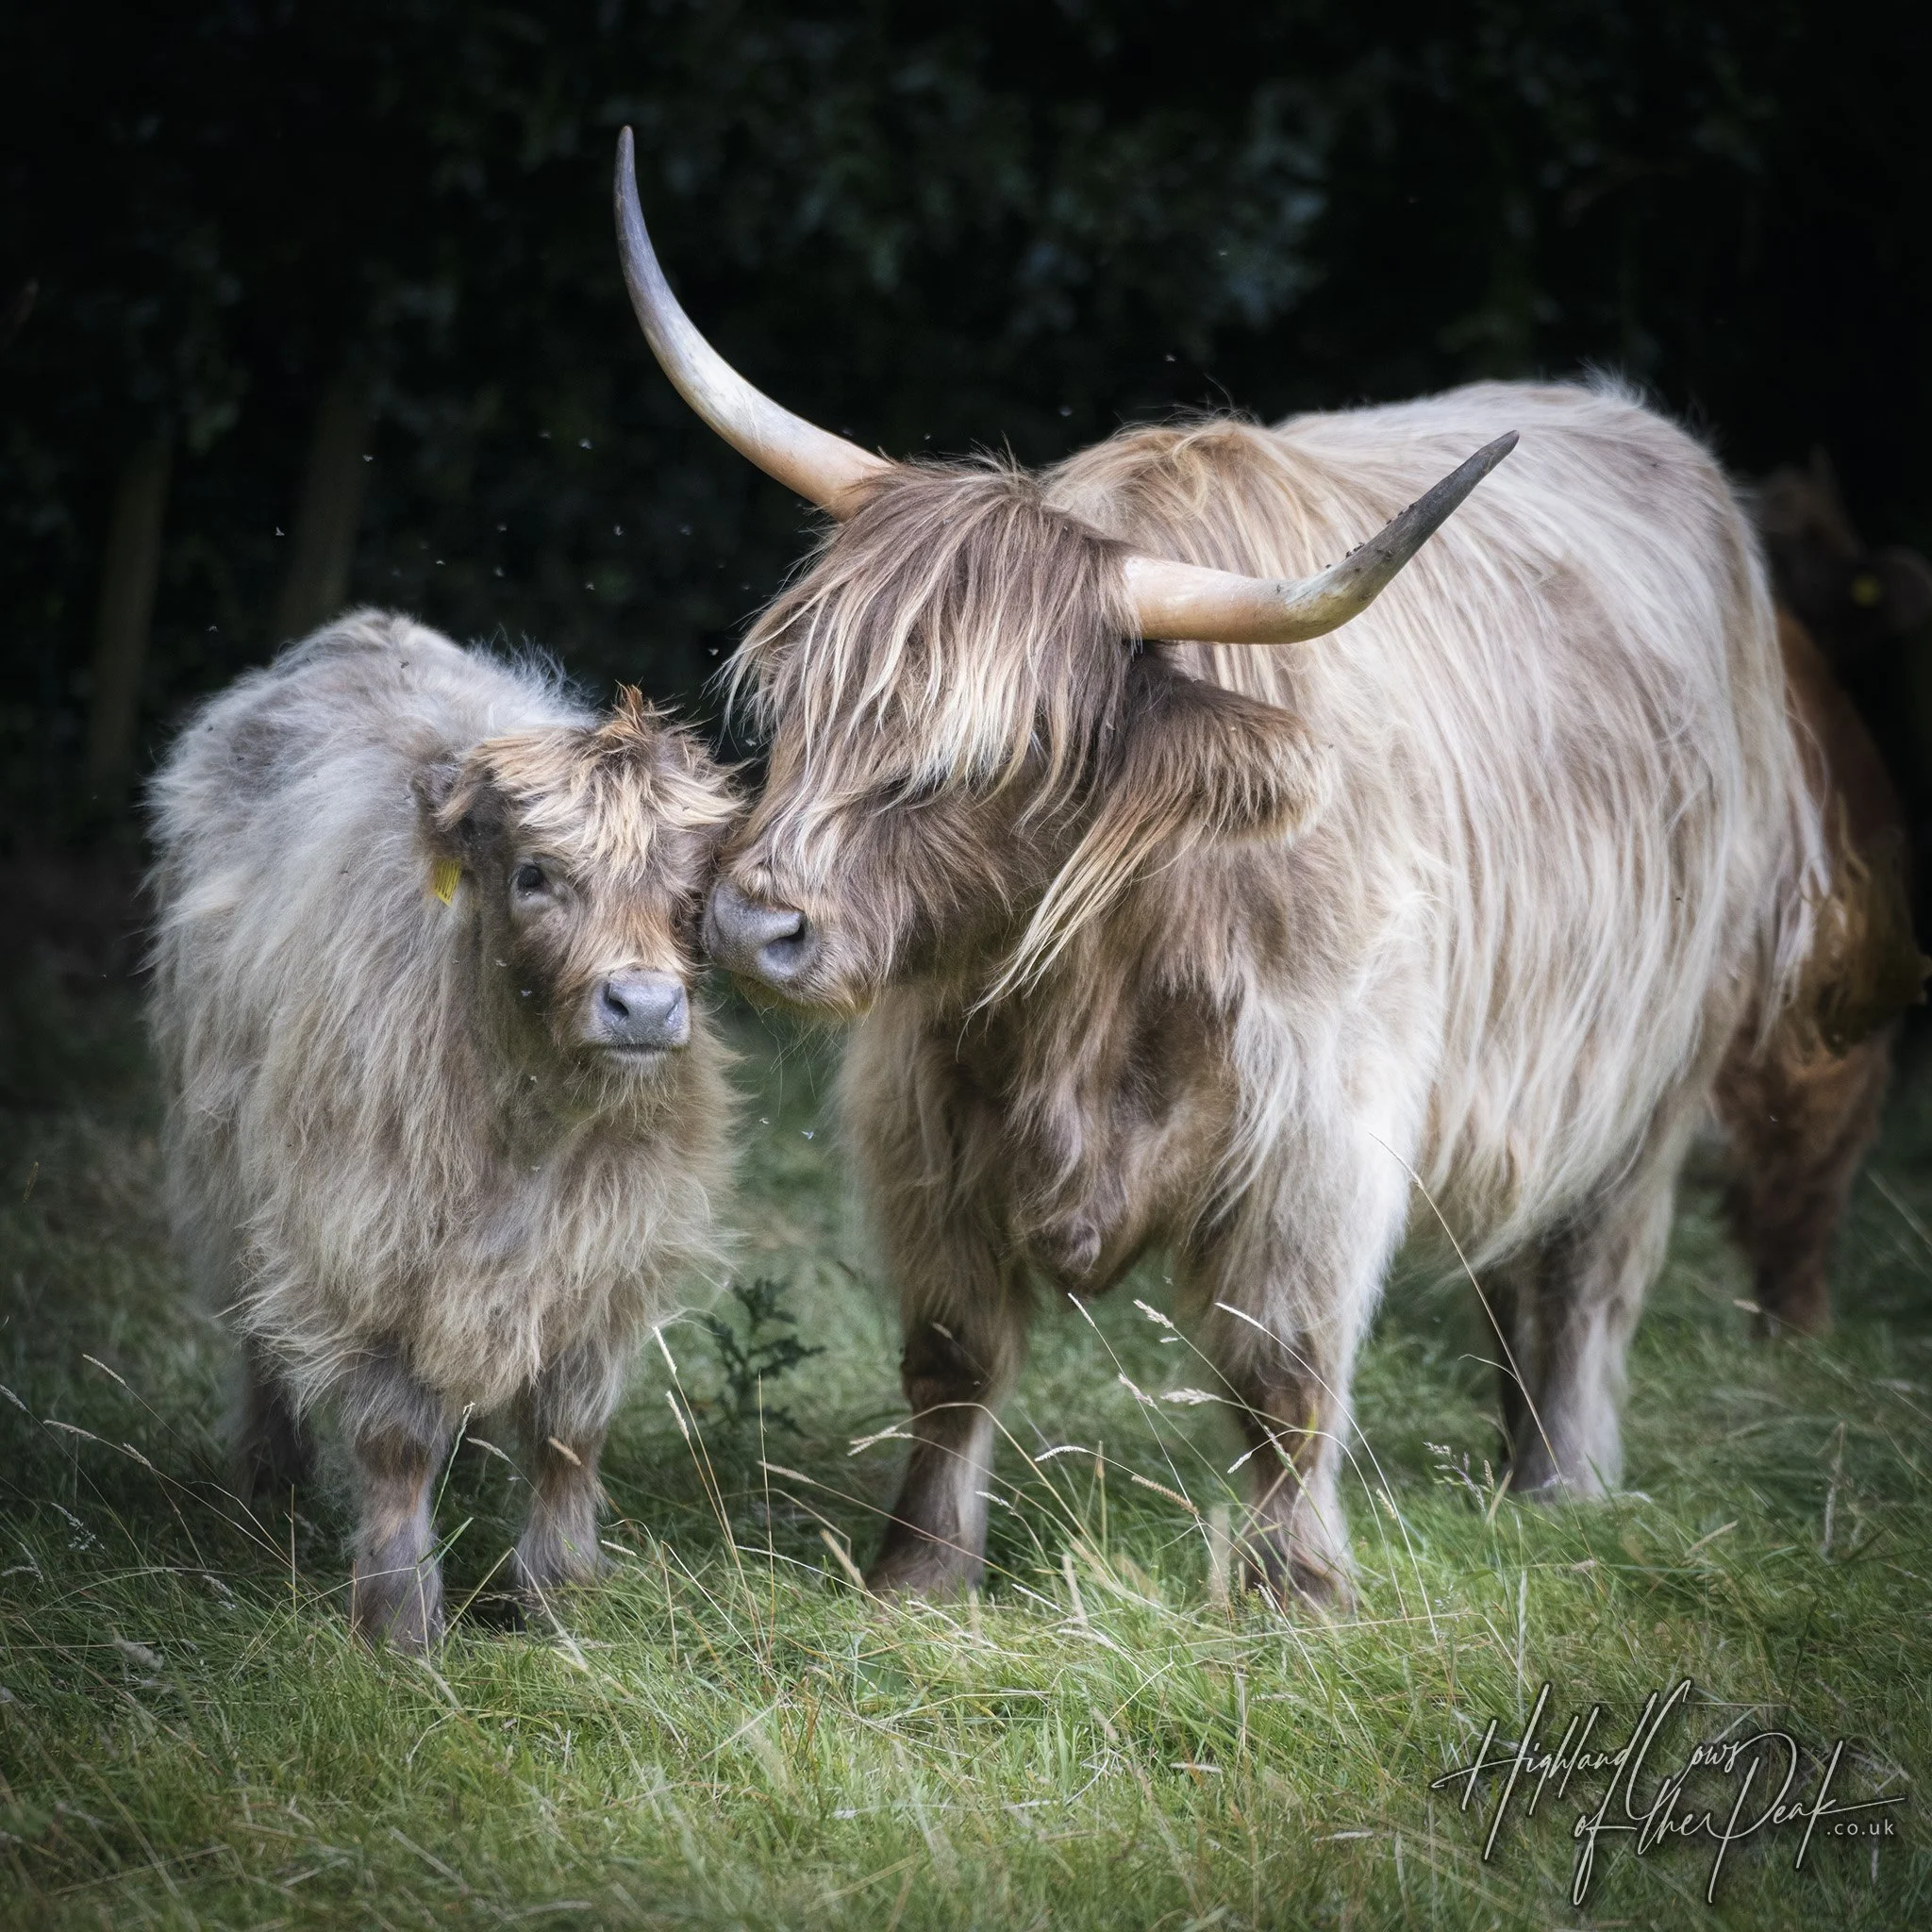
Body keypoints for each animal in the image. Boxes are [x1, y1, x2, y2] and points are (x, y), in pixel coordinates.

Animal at [147, 610, 738, 1650]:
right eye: (535, 874)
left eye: (695, 884)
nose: (643, 1005)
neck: (527, 1124)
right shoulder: (365, 1233)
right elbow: (395, 1438)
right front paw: (398, 1614)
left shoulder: (611, 1252)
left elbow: (567, 1432)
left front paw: (559, 1592)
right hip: (240, 1177)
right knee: (263, 1332)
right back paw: (270, 1485)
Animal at [611, 132, 1854, 1606]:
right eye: (803, 694)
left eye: (1004, 754)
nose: (755, 925)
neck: (1095, 972)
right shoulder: (923, 1102)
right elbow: (953, 1355)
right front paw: (917, 1567)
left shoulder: (1322, 1122)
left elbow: (1284, 1368)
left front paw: (1296, 1586)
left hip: (1653, 1061)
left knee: (1583, 1262)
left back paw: (1562, 1479)